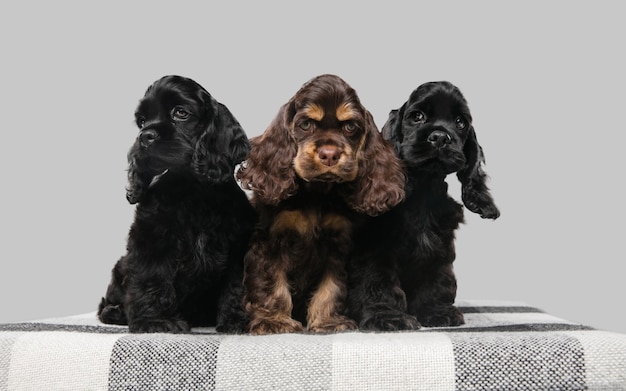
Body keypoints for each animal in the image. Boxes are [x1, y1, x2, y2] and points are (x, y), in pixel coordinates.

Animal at [97, 74, 254, 334]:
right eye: (141, 121)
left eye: (181, 113)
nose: (144, 136)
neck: (191, 190)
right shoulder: (151, 240)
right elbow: (152, 278)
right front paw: (155, 322)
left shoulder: (238, 244)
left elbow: (236, 285)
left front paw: (237, 321)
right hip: (120, 266)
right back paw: (116, 312)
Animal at [235, 75, 404, 336]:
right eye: (305, 125)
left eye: (350, 127)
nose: (330, 154)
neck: (317, 195)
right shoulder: (270, 240)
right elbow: (272, 284)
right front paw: (274, 321)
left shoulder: (336, 245)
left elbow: (331, 287)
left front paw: (328, 322)